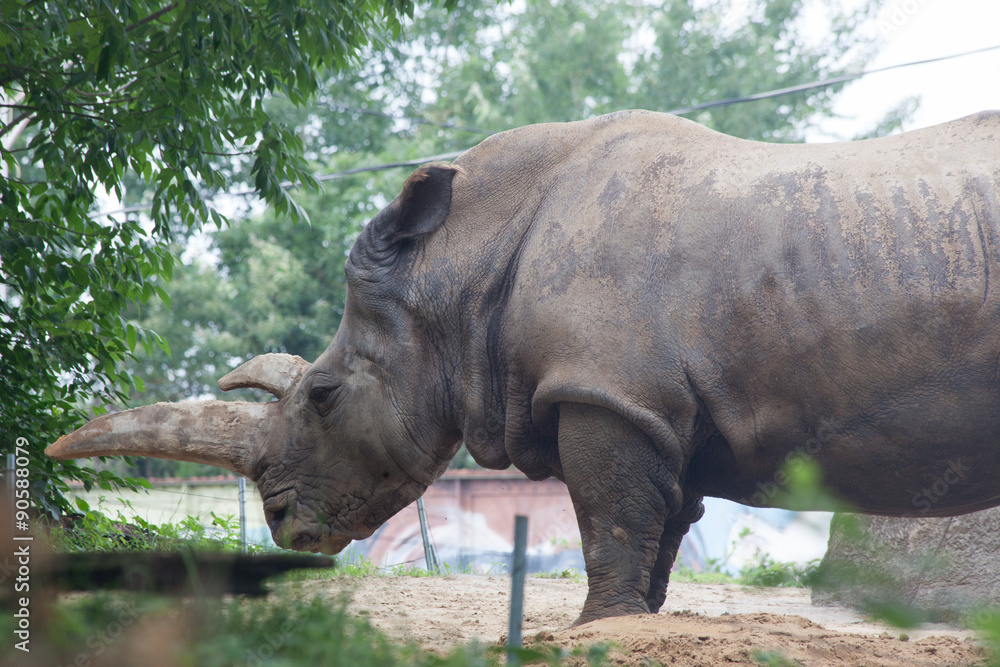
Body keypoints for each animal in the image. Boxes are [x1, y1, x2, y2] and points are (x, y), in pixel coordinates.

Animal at [47, 110, 1000, 625]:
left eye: (322, 395)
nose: (283, 523)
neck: (455, 267)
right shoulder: (651, 403)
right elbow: (656, 523)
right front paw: (636, 624)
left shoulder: (606, 391)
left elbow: (608, 516)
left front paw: (596, 625)